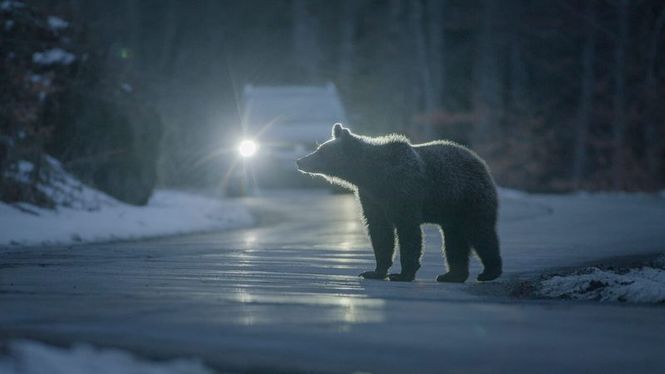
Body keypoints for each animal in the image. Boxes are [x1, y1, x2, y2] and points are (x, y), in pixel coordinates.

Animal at [294, 124, 500, 282]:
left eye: (321, 151)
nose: (300, 161)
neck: (371, 175)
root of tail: (480, 161)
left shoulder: (403, 190)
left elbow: (408, 231)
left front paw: (402, 274)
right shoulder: (371, 197)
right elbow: (379, 231)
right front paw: (374, 271)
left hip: (468, 198)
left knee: (481, 232)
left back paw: (488, 272)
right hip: (451, 211)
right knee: (453, 240)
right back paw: (451, 275)